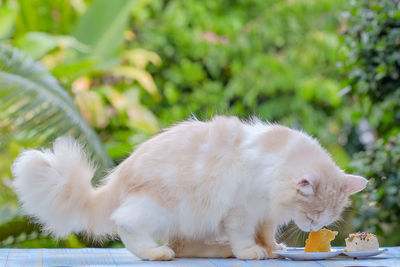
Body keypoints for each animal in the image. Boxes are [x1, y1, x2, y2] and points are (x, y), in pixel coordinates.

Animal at [10, 116, 368, 260]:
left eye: (327, 216)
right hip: (160, 208)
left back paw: (219, 251)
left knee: (183, 246)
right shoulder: (241, 210)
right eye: (313, 212)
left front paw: (272, 248)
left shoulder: (264, 215)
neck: (273, 164)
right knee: (126, 224)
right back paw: (155, 253)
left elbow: (267, 235)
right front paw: (250, 253)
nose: (315, 226)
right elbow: (245, 236)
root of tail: (119, 176)